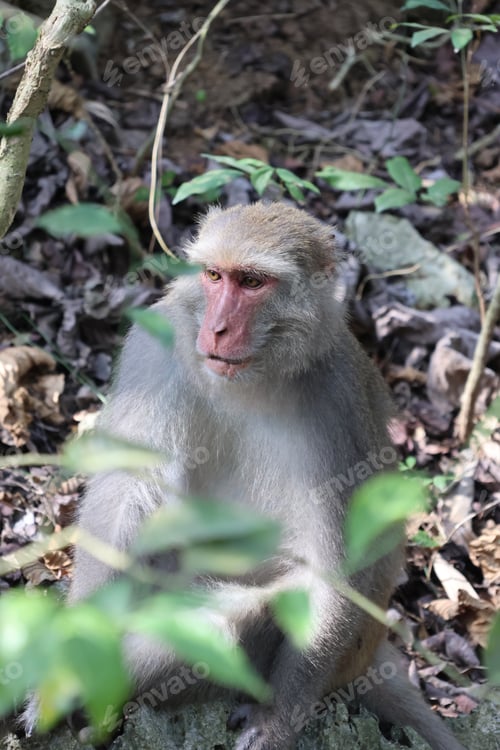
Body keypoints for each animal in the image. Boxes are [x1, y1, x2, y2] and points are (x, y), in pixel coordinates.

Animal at [23, 202, 466, 750]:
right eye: (215, 276)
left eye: (252, 282)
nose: (215, 330)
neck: (253, 377)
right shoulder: (157, 345)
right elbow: (125, 499)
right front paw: (74, 659)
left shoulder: (336, 397)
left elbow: (334, 569)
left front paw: (277, 721)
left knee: (234, 620)